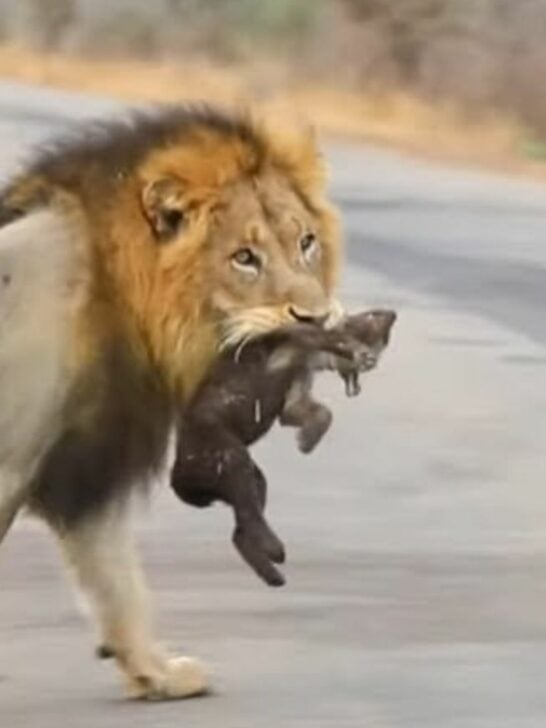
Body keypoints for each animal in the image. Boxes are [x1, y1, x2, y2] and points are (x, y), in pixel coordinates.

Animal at [0, 104, 343, 700]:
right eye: (244, 258)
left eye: (306, 243)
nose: (316, 318)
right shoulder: (15, 462)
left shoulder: (89, 462)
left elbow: (118, 580)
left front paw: (156, 674)